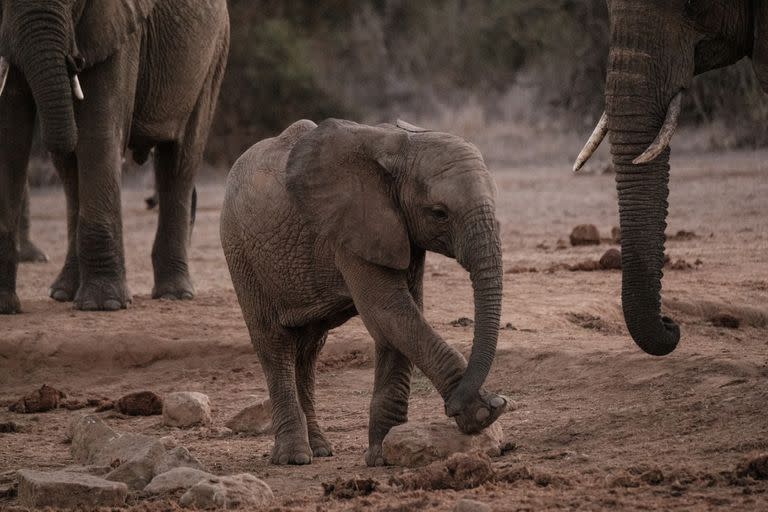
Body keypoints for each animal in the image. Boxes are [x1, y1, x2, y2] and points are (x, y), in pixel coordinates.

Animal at [0, 0, 230, 314]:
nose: (74, 60)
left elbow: (99, 128)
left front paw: (104, 305)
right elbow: (10, 134)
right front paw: (6, 307)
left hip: (213, 55)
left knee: (179, 161)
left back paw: (175, 294)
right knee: (70, 175)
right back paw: (63, 293)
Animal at [222, 119, 508, 464]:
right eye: (440, 212)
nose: (451, 407)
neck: (400, 146)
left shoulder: (397, 231)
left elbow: (400, 318)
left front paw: (383, 455)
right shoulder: (350, 230)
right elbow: (388, 310)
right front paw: (483, 413)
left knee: (308, 350)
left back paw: (320, 450)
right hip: (241, 252)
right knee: (274, 343)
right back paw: (294, 458)